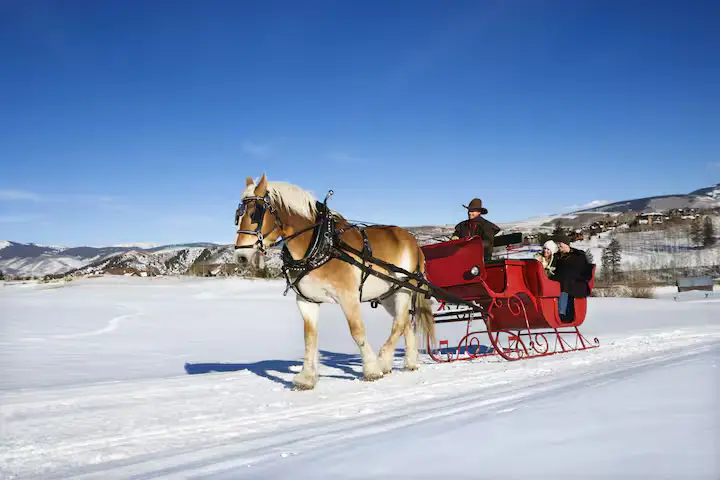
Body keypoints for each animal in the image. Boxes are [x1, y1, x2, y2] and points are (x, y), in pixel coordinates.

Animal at [233, 173, 436, 390]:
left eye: (255, 213)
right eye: (238, 215)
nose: (241, 256)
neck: (321, 243)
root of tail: (413, 241)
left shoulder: (348, 296)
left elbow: (357, 331)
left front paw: (372, 369)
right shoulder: (306, 301)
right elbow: (309, 337)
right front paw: (306, 377)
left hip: (403, 289)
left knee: (399, 323)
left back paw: (383, 360)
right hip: (388, 295)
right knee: (405, 322)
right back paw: (409, 362)